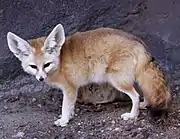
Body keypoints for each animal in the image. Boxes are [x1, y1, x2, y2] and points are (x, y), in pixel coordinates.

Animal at [6, 24, 172, 127]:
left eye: (46, 65)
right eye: (33, 67)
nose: (41, 78)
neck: (60, 62)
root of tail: (137, 40)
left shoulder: (70, 88)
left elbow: (65, 106)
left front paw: (64, 120)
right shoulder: (73, 90)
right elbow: (71, 106)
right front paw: (70, 115)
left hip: (117, 81)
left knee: (135, 96)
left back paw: (132, 115)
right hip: (132, 78)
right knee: (143, 90)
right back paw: (145, 104)